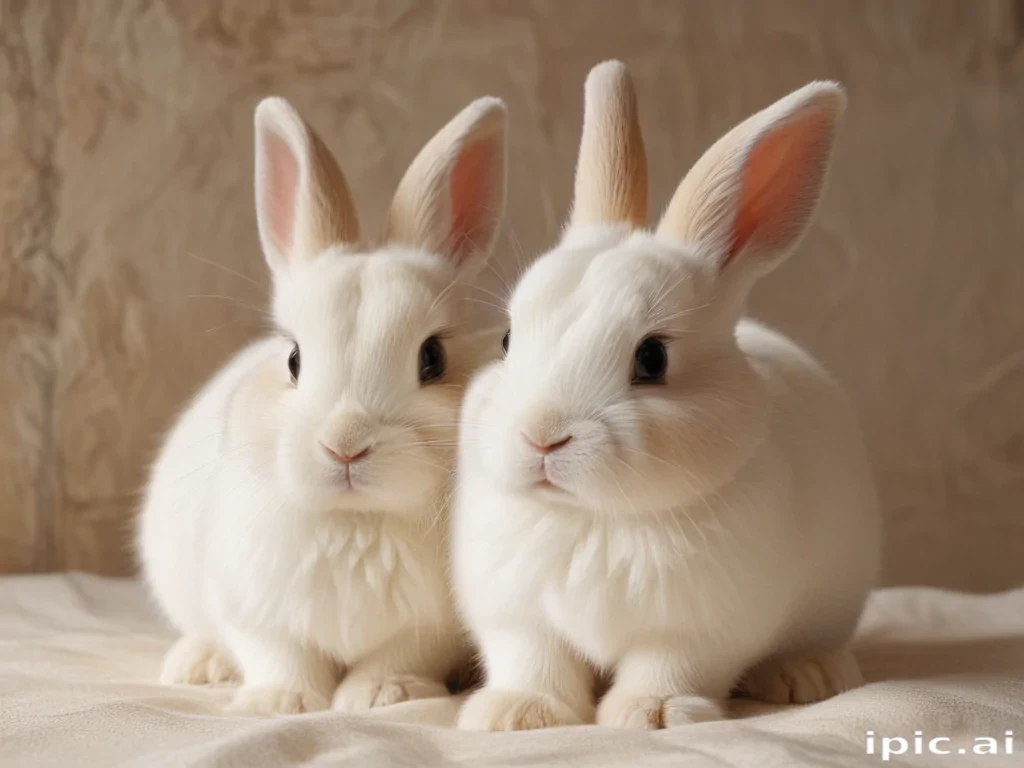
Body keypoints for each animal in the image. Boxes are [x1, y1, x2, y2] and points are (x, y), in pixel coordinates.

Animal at [137, 93, 508, 717]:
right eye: (293, 359)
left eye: (432, 358)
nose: (346, 444)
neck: (355, 520)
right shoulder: (253, 610)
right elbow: (280, 656)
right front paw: (280, 702)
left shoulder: (428, 630)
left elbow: (399, 657)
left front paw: (382, 695)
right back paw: (198, 666)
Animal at [452, 60, 881, 732]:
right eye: (507, 338)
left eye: (652, 359)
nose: (542, 436)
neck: (594, 518)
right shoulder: (518, 616)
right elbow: (533, 661)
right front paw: (517, 715)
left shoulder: (697, 629)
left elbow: (668, 665)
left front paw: (653, 715)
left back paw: (807, 676)